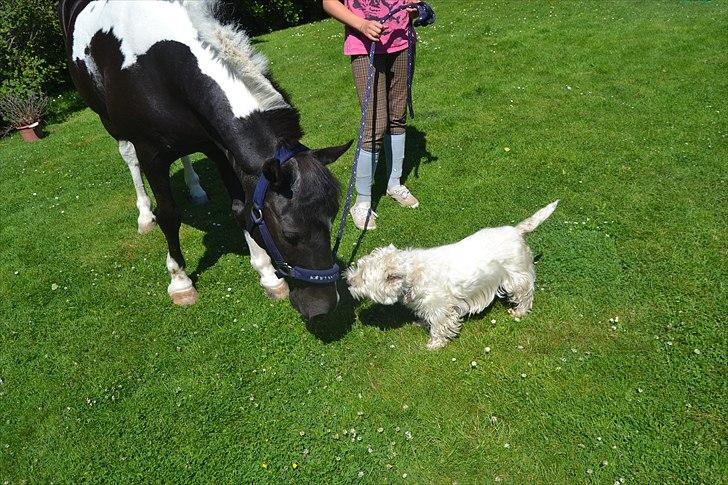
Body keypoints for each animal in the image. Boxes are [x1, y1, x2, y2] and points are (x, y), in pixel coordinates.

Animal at [59, 0, 350, 320]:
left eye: (332, 218)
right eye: (290, 234)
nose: (323, 306)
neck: (159, 63)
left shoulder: (218, 147)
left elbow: (240, 209)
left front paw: (267, 275)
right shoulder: (152, 155)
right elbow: (169, 215)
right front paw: (180, 281)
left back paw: (195, 189)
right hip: (109, 121)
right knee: (129, 157)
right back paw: (145, 215)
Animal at [344, 199, 560, 348]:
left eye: (363, 277)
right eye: (359, 267)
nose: (348, 281)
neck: (412, 275)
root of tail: (516, 231)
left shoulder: (440, 307)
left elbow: (439, 325)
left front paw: (434, 344)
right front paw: (420, 323)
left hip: (515, 276)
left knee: (525, 293)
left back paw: (519, 311)